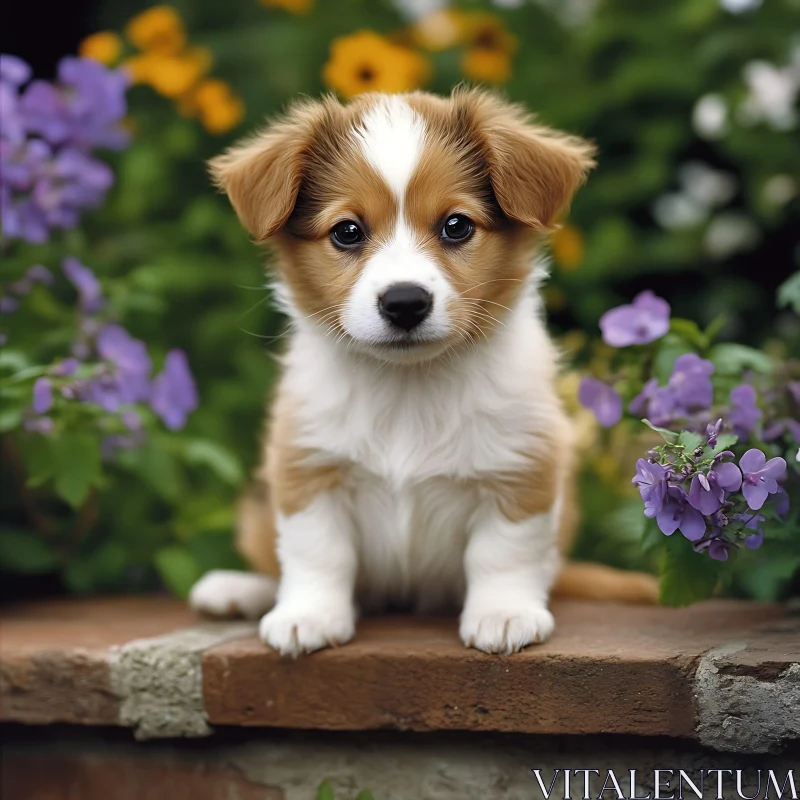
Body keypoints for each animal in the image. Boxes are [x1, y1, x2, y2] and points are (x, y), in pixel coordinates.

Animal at [189, 87, 656, 656]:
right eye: (347, 232)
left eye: (456, 226)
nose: (405, 302)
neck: (408, 386)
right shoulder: (306, 465)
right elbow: (315, 551)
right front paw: (308, 615)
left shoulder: (523, 465)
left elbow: (503, 550)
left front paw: (503, 613)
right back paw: (237, 589)